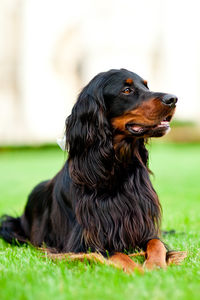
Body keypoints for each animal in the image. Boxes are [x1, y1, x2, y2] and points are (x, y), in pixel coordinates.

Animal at [0, 68, 178, 270]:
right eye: (126, 90)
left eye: (146, 86)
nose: (173, 99)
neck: (115, 168)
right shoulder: (86, 239)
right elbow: (117, 254)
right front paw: (138, 271)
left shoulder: (141, 226)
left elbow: (156, 243)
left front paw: (156, 266)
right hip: (8, 226)